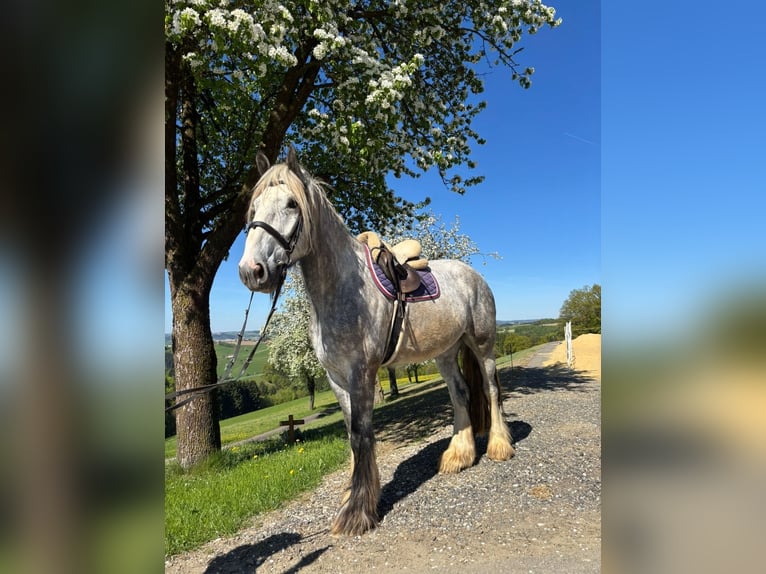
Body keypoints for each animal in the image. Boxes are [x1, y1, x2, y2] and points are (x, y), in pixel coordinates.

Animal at [238, 147, 514, 536]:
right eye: (255, 206)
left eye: (292, 203)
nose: (252, 271)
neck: (341, 290)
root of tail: (472, 275)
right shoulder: (337, 378)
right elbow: (351, 437)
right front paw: (354, 496)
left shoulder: (362, 373)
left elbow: (360, 433)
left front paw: (356, 512)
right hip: (445, 353)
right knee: (461, 393)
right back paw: (458, 456)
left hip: (482, 344)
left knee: (490, 389)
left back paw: (500, 447)